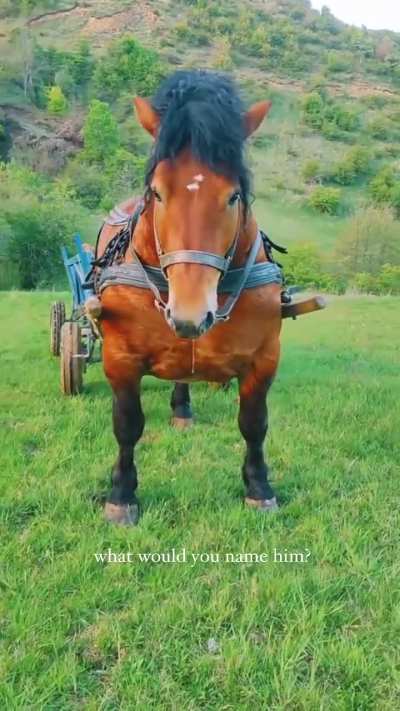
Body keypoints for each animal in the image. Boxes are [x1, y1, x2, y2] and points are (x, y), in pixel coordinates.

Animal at [95, 70, 282, 525]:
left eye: (234, 195)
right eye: (158, 193)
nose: (191, 314)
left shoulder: (265, 357)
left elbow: (254, 423)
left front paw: (259, 487)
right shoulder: (119, 358)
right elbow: (127, 424)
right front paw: (121, 495)